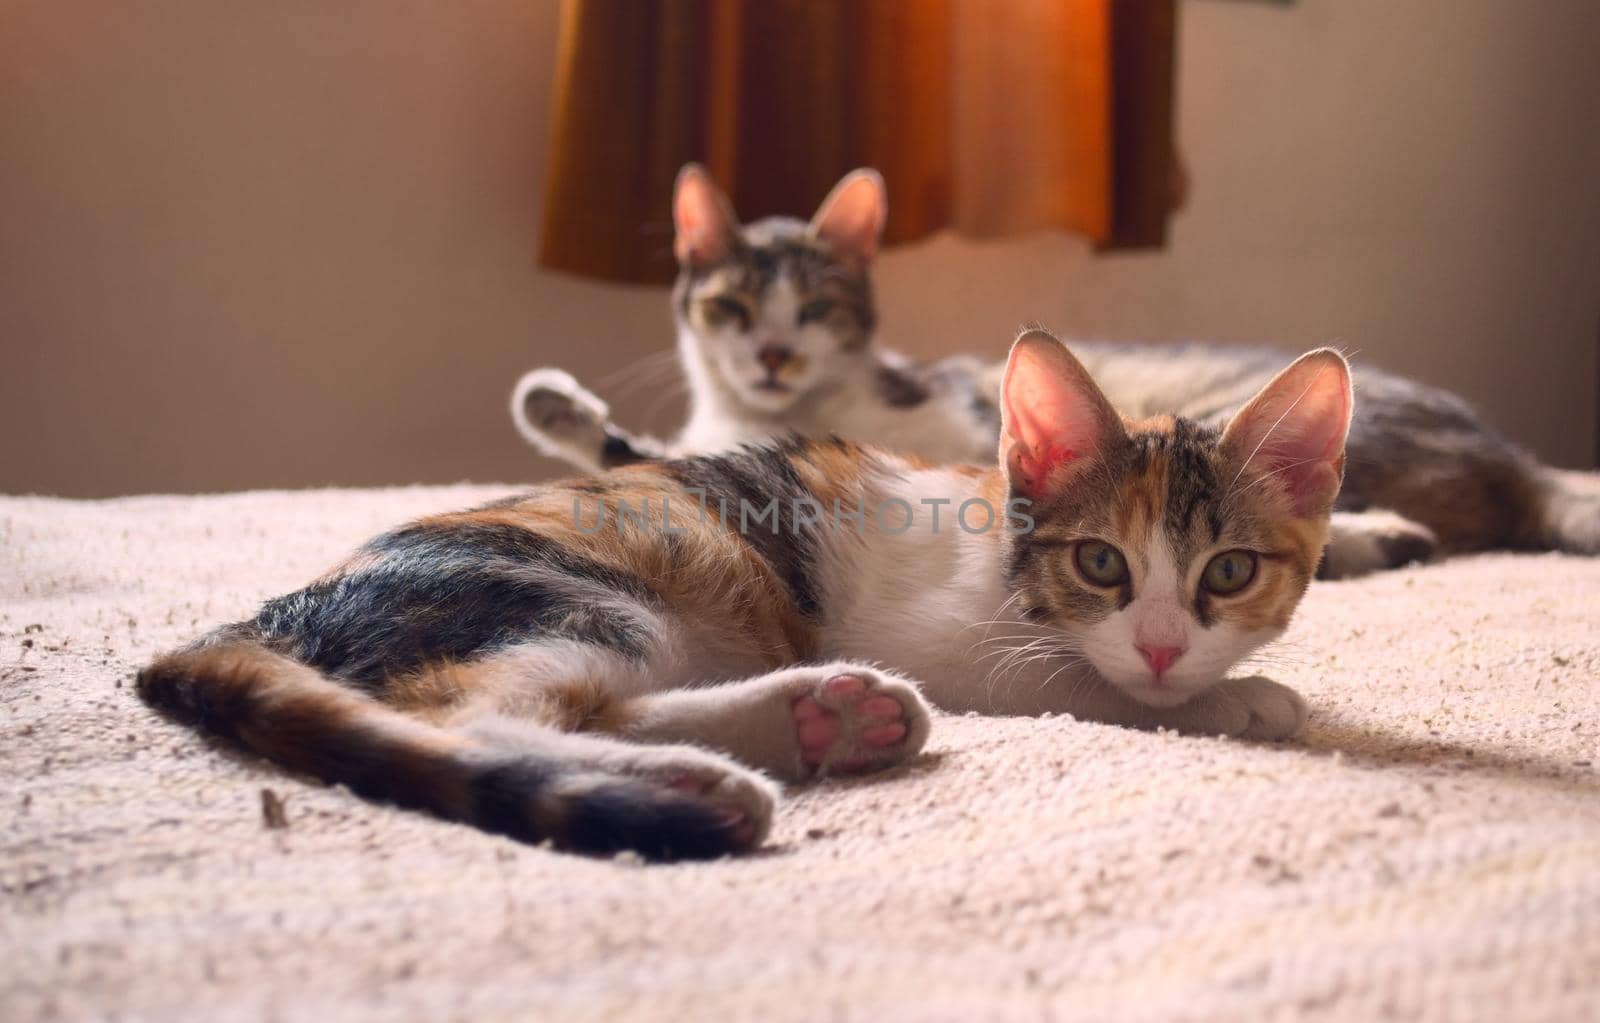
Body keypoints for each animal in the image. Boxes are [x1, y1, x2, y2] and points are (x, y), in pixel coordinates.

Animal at [147, 332, 1350, 858]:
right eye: (1101, 564)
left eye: (1228, 571)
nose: (1161, 645)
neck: (998, 539)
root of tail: (273, 611)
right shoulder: (962, 642)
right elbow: (1075, 685)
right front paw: (1229, 701)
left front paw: (1212, 682)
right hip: (586, 591)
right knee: (481, 717)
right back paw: (703, 781)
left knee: (588, 702)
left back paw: (817, 720)